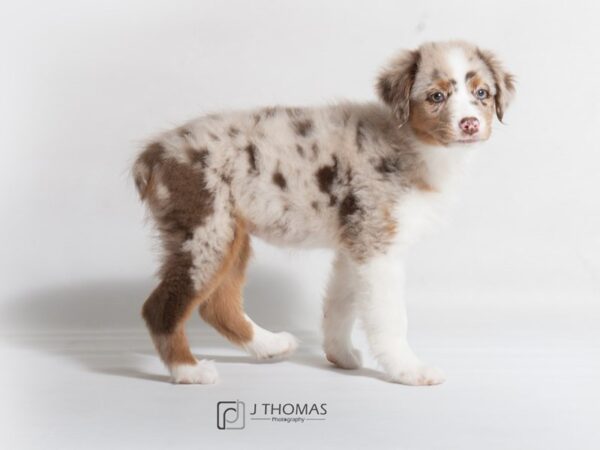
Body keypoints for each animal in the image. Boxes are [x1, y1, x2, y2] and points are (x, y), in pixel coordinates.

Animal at [132, 40, 516, 384]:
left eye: (482, 93)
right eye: (436, 97)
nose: (469, 123)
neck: (409, 142)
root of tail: (153, 156)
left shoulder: (355, 244)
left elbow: (340, 305)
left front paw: (339, 355)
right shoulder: (378, 245)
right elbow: (390, 317)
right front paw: (409, 370)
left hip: (229, 234)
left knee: (218, 306)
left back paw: (270, 346)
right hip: (204, 229)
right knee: (160, 307)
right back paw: (190, 371)